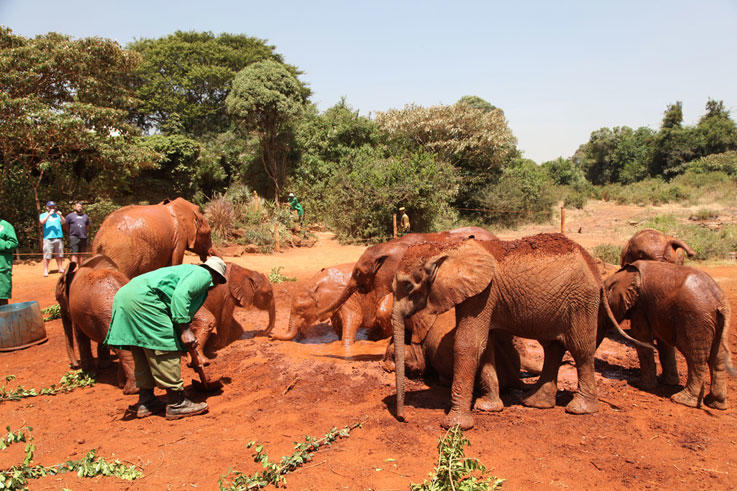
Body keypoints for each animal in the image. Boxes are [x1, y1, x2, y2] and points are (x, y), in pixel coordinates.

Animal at [390, 234, 652, 429]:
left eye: (408, 286)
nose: (403, 418)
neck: (448, 248)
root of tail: (594, 266)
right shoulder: (480, 295)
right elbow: (485, 345)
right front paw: (488, 408)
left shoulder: (484, 292)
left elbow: (468, 344)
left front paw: (455, 425)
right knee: (553, 347)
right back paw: (536, 403)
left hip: (581, 299)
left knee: (580, 349)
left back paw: (580, 410)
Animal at [604, 260, 735, 409]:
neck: (622, 274)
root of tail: (719, 302)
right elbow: (663, 341)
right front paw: (667, 382)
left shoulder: (640, 305)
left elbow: (641, 337)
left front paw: (641, 385)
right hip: (718, 322)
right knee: (718, 358)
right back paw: (715, 404)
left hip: (695, 319)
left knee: (695, 357)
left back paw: (682, 400)